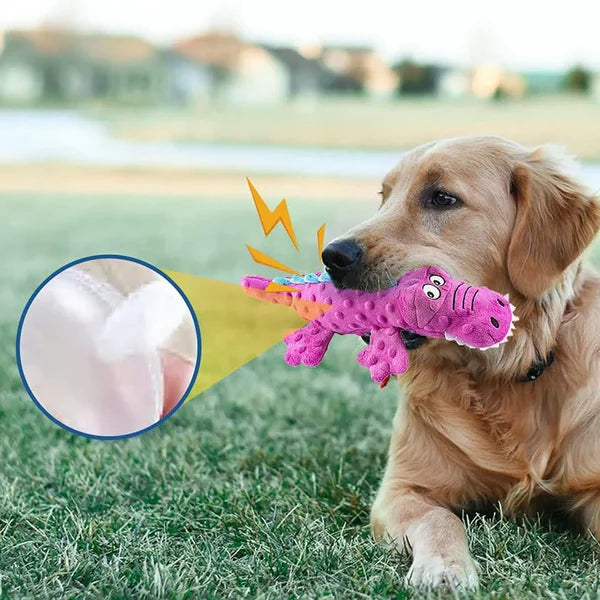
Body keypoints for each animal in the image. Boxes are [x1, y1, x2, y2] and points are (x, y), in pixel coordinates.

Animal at [322, 135, 600, 584]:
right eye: (384, 197)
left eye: (441, 198)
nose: (333, 256)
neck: (503, 371)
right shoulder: (402, 489)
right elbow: (440, 518)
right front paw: (445, 568)